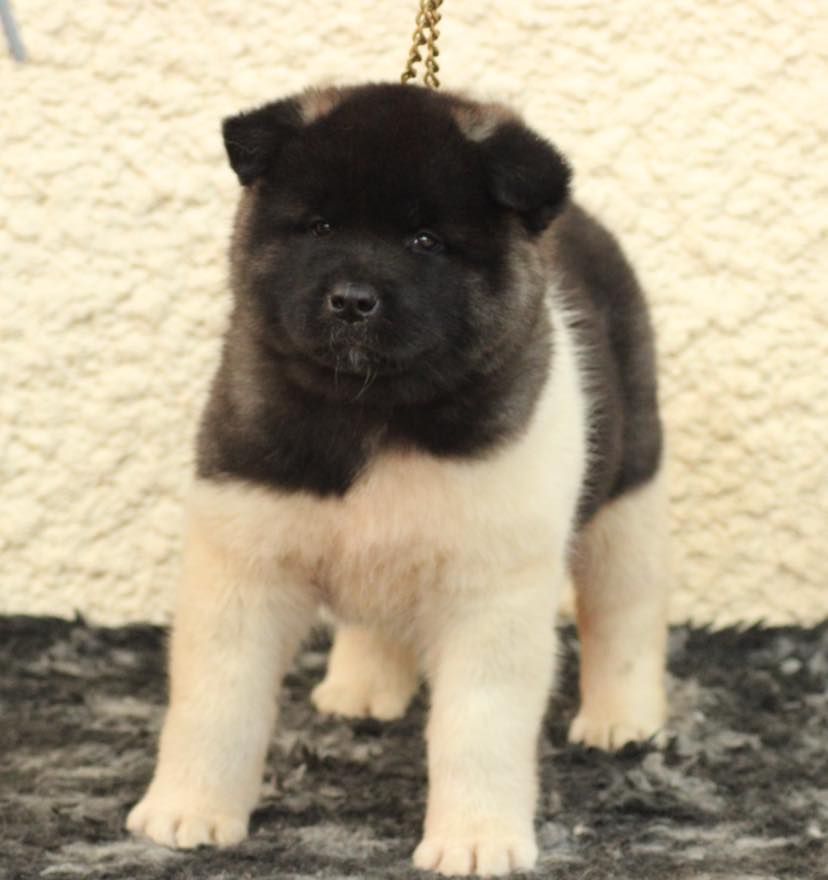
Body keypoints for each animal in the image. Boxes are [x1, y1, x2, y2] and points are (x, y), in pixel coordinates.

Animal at [127, 83, 670, 877]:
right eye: (319, 226)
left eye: (425, 242)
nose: (352, 300)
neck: (374, 408)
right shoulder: (242, 565)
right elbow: (216, 703)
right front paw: (187, 810)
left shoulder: (491, 596)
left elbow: (479, 727)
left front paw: (475, 840)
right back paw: (362, 685)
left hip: (627, 490)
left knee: (625, 607)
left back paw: (623, 717)